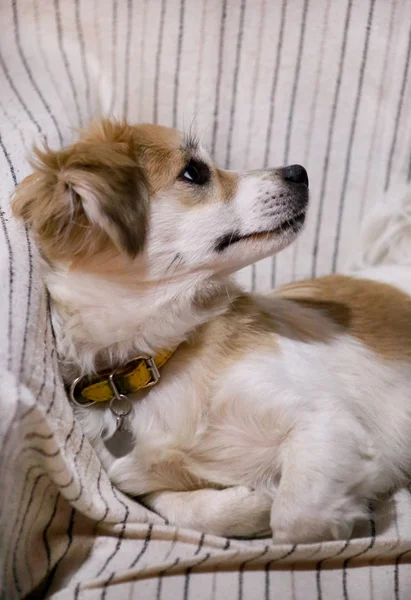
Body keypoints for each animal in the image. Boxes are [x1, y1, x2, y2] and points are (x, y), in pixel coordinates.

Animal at [11, 118, 411, 544]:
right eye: (194, 172)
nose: (299, 171)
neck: (160, 360)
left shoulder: (326, 423)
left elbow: (294, 518)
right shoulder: (140, 481)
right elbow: (183, 509)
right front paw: (253, 502)